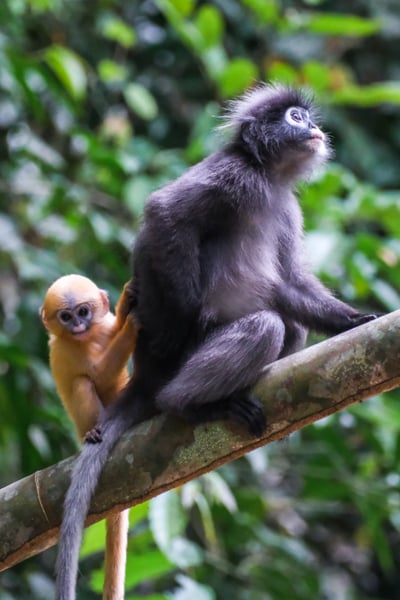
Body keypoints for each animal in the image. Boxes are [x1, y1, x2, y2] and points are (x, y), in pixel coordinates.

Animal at [40, 274, 138, 600]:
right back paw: (95, 432)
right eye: (66, 317)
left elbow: (112, 328)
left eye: (83, 312)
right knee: (83, 383)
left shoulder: (103, 325)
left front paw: (124, 307)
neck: (87, 338)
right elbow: (96, 374)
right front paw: (131, 325)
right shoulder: (66, 351)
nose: (78, 325)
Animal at [55, 82, 378, 596]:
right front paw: (186, 317)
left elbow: (290, 282)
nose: (313, 127)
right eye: (295, 117)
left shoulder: (287, 208)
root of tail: (145, 377)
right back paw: (191, 402)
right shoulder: (233, 178)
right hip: (172, 364)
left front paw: (354, 321)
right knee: (264, 326)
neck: (268, 178)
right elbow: (162, 214)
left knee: (292, 325)